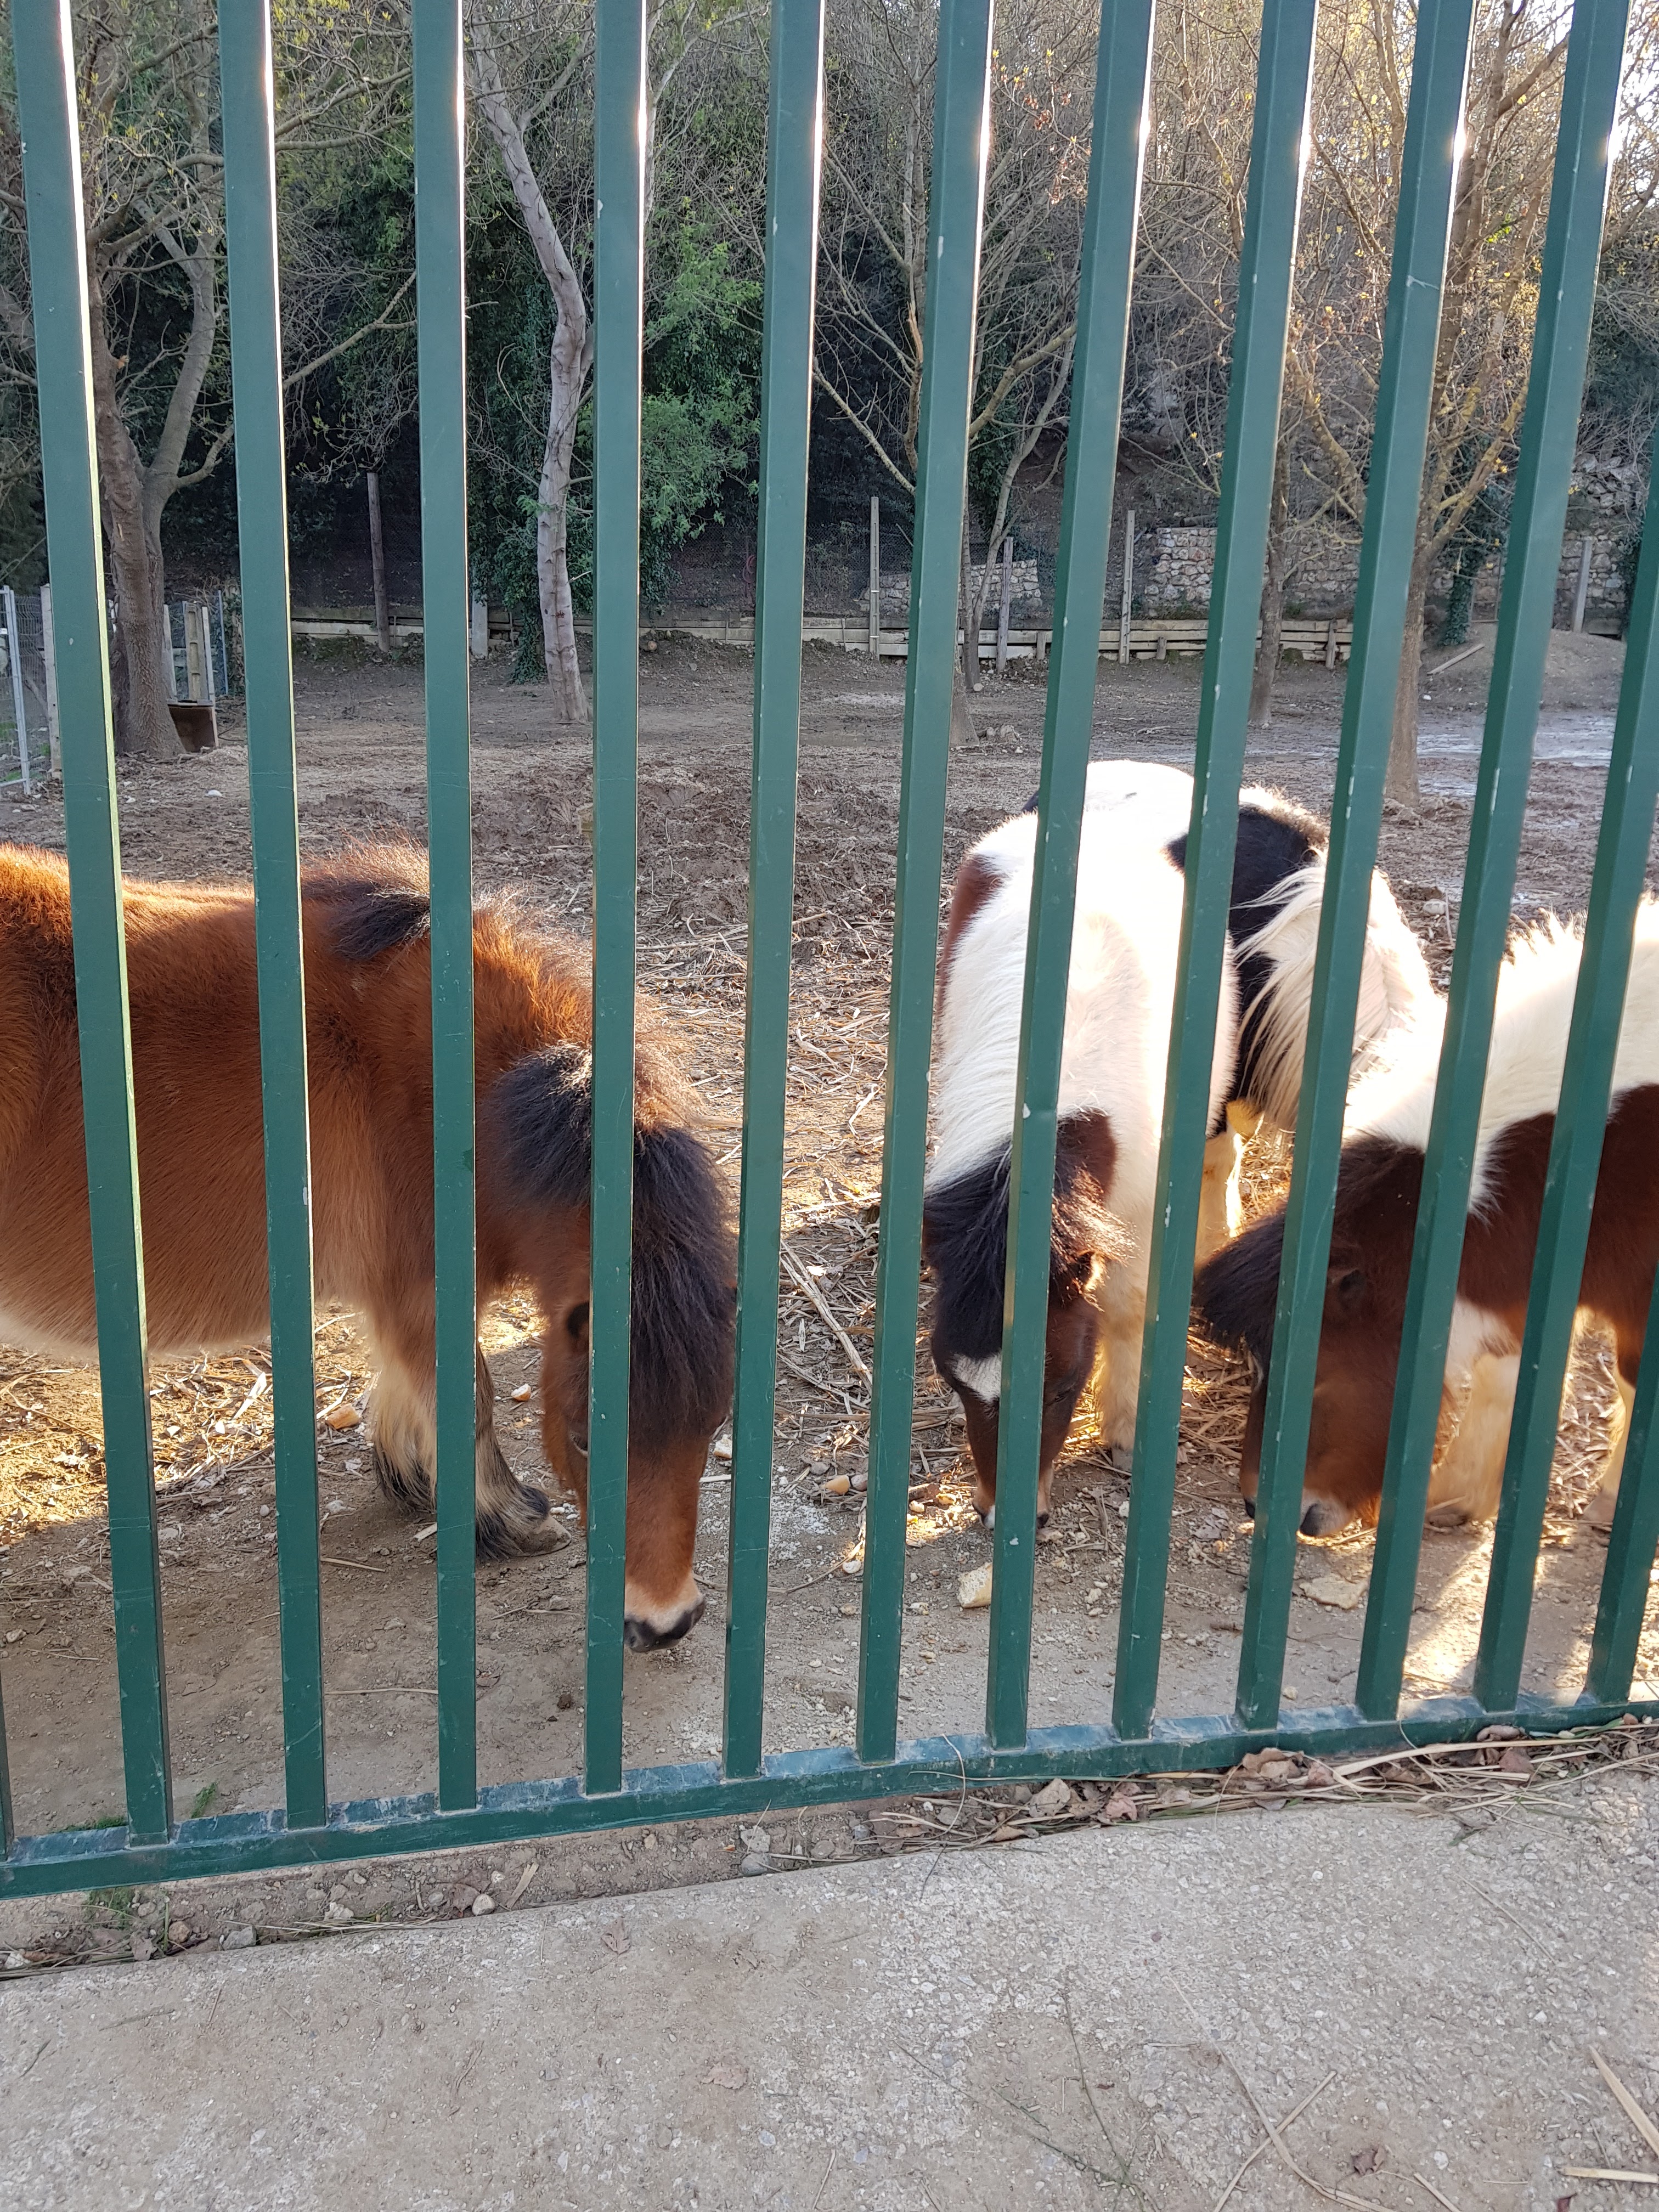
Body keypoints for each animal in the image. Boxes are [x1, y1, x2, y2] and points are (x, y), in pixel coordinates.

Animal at [0, 844, 735, 1648]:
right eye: (582, 1440)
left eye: (711, 1425)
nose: (665, 1622)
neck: (454, 1091)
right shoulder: (419, 1287)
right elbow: (469, 1398)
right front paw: (506, 1519)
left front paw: (411, 1478)